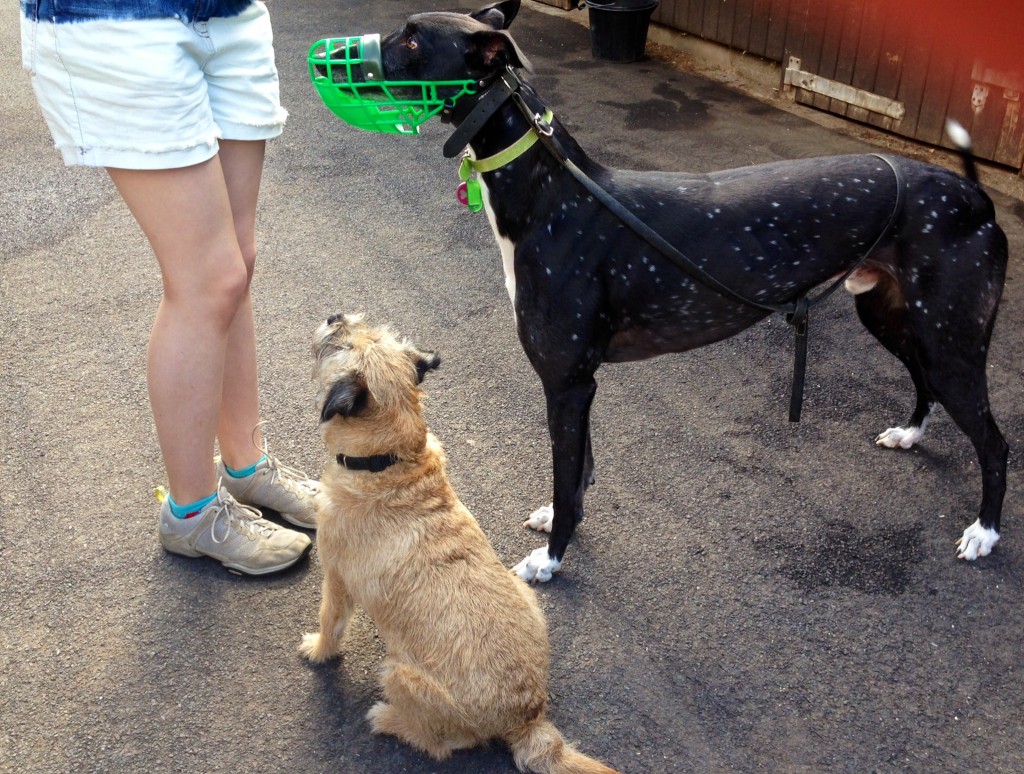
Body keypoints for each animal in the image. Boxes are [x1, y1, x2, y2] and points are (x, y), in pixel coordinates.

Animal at [299, 315, 614, 774]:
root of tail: (528, 716)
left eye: (342, 343)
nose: (334, 317)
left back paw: (388, 718)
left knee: (438, 744)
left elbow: (330, 623)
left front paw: (318, 651)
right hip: (523, 594)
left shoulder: (336, 579)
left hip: (398, 674)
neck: (392, 461)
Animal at [372, 0, 1003, 581]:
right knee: (925, 384)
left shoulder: (567, 383)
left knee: (995, 445)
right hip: (896, 317)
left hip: (949, 342)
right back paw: (911, 433)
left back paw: (985, 532)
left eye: (412, 40)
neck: (553, 195)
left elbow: (568, 471)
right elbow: (579, 473)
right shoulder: (580, 384)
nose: (347, 57)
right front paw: (557, 517)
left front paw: (551, 560)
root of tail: (974, 195)